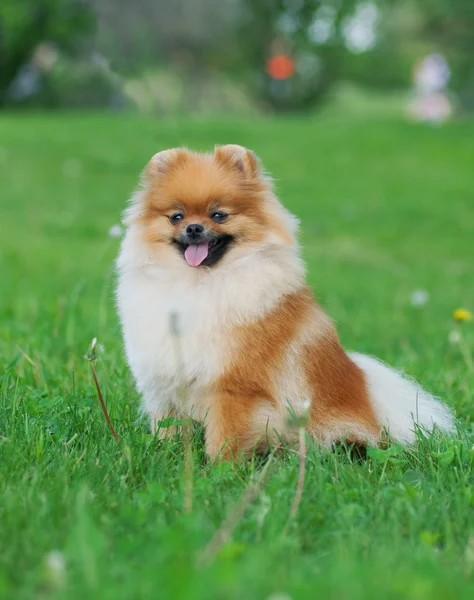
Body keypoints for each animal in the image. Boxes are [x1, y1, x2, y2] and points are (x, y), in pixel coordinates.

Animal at [115, 145, 456, 460]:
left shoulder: (233, 386)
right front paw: (165, 455)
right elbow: (167, 428)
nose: (193, 228)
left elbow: (225, 437)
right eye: (176, 217)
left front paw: (219, 470)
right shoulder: (164, 382)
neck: (198, 283)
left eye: (218, 214)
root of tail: (369, 395)